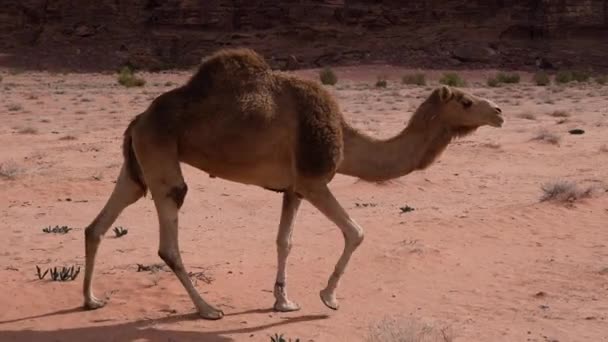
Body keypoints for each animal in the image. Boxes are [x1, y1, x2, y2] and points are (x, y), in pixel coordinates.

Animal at [83, 46, 506, 320]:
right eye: (466, 102)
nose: (499, 111)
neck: (344, 137)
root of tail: (138, 118)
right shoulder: (315, 180)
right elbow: (356, 231)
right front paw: (328, 298)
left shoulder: (293, 188)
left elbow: (284, 241)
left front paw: (283, 302)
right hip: (161, 154)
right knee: (168, 236)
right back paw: (208, 309)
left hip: (139, 161)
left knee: (98, 224)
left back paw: (91, 300)